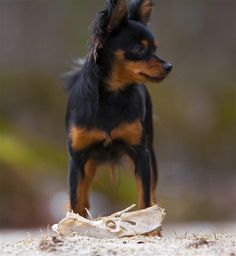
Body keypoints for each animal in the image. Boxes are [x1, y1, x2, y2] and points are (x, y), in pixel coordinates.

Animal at [63, 0, 172, 217]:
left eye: (154, 48)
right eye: (139, 48)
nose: (168, 66)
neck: (112, 96)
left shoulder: (141, 155)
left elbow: (145, 199)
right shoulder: (77, 159)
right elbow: (75, 201)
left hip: (150, 153)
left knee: (153, 193)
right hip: (88, 163)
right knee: (83, 195)